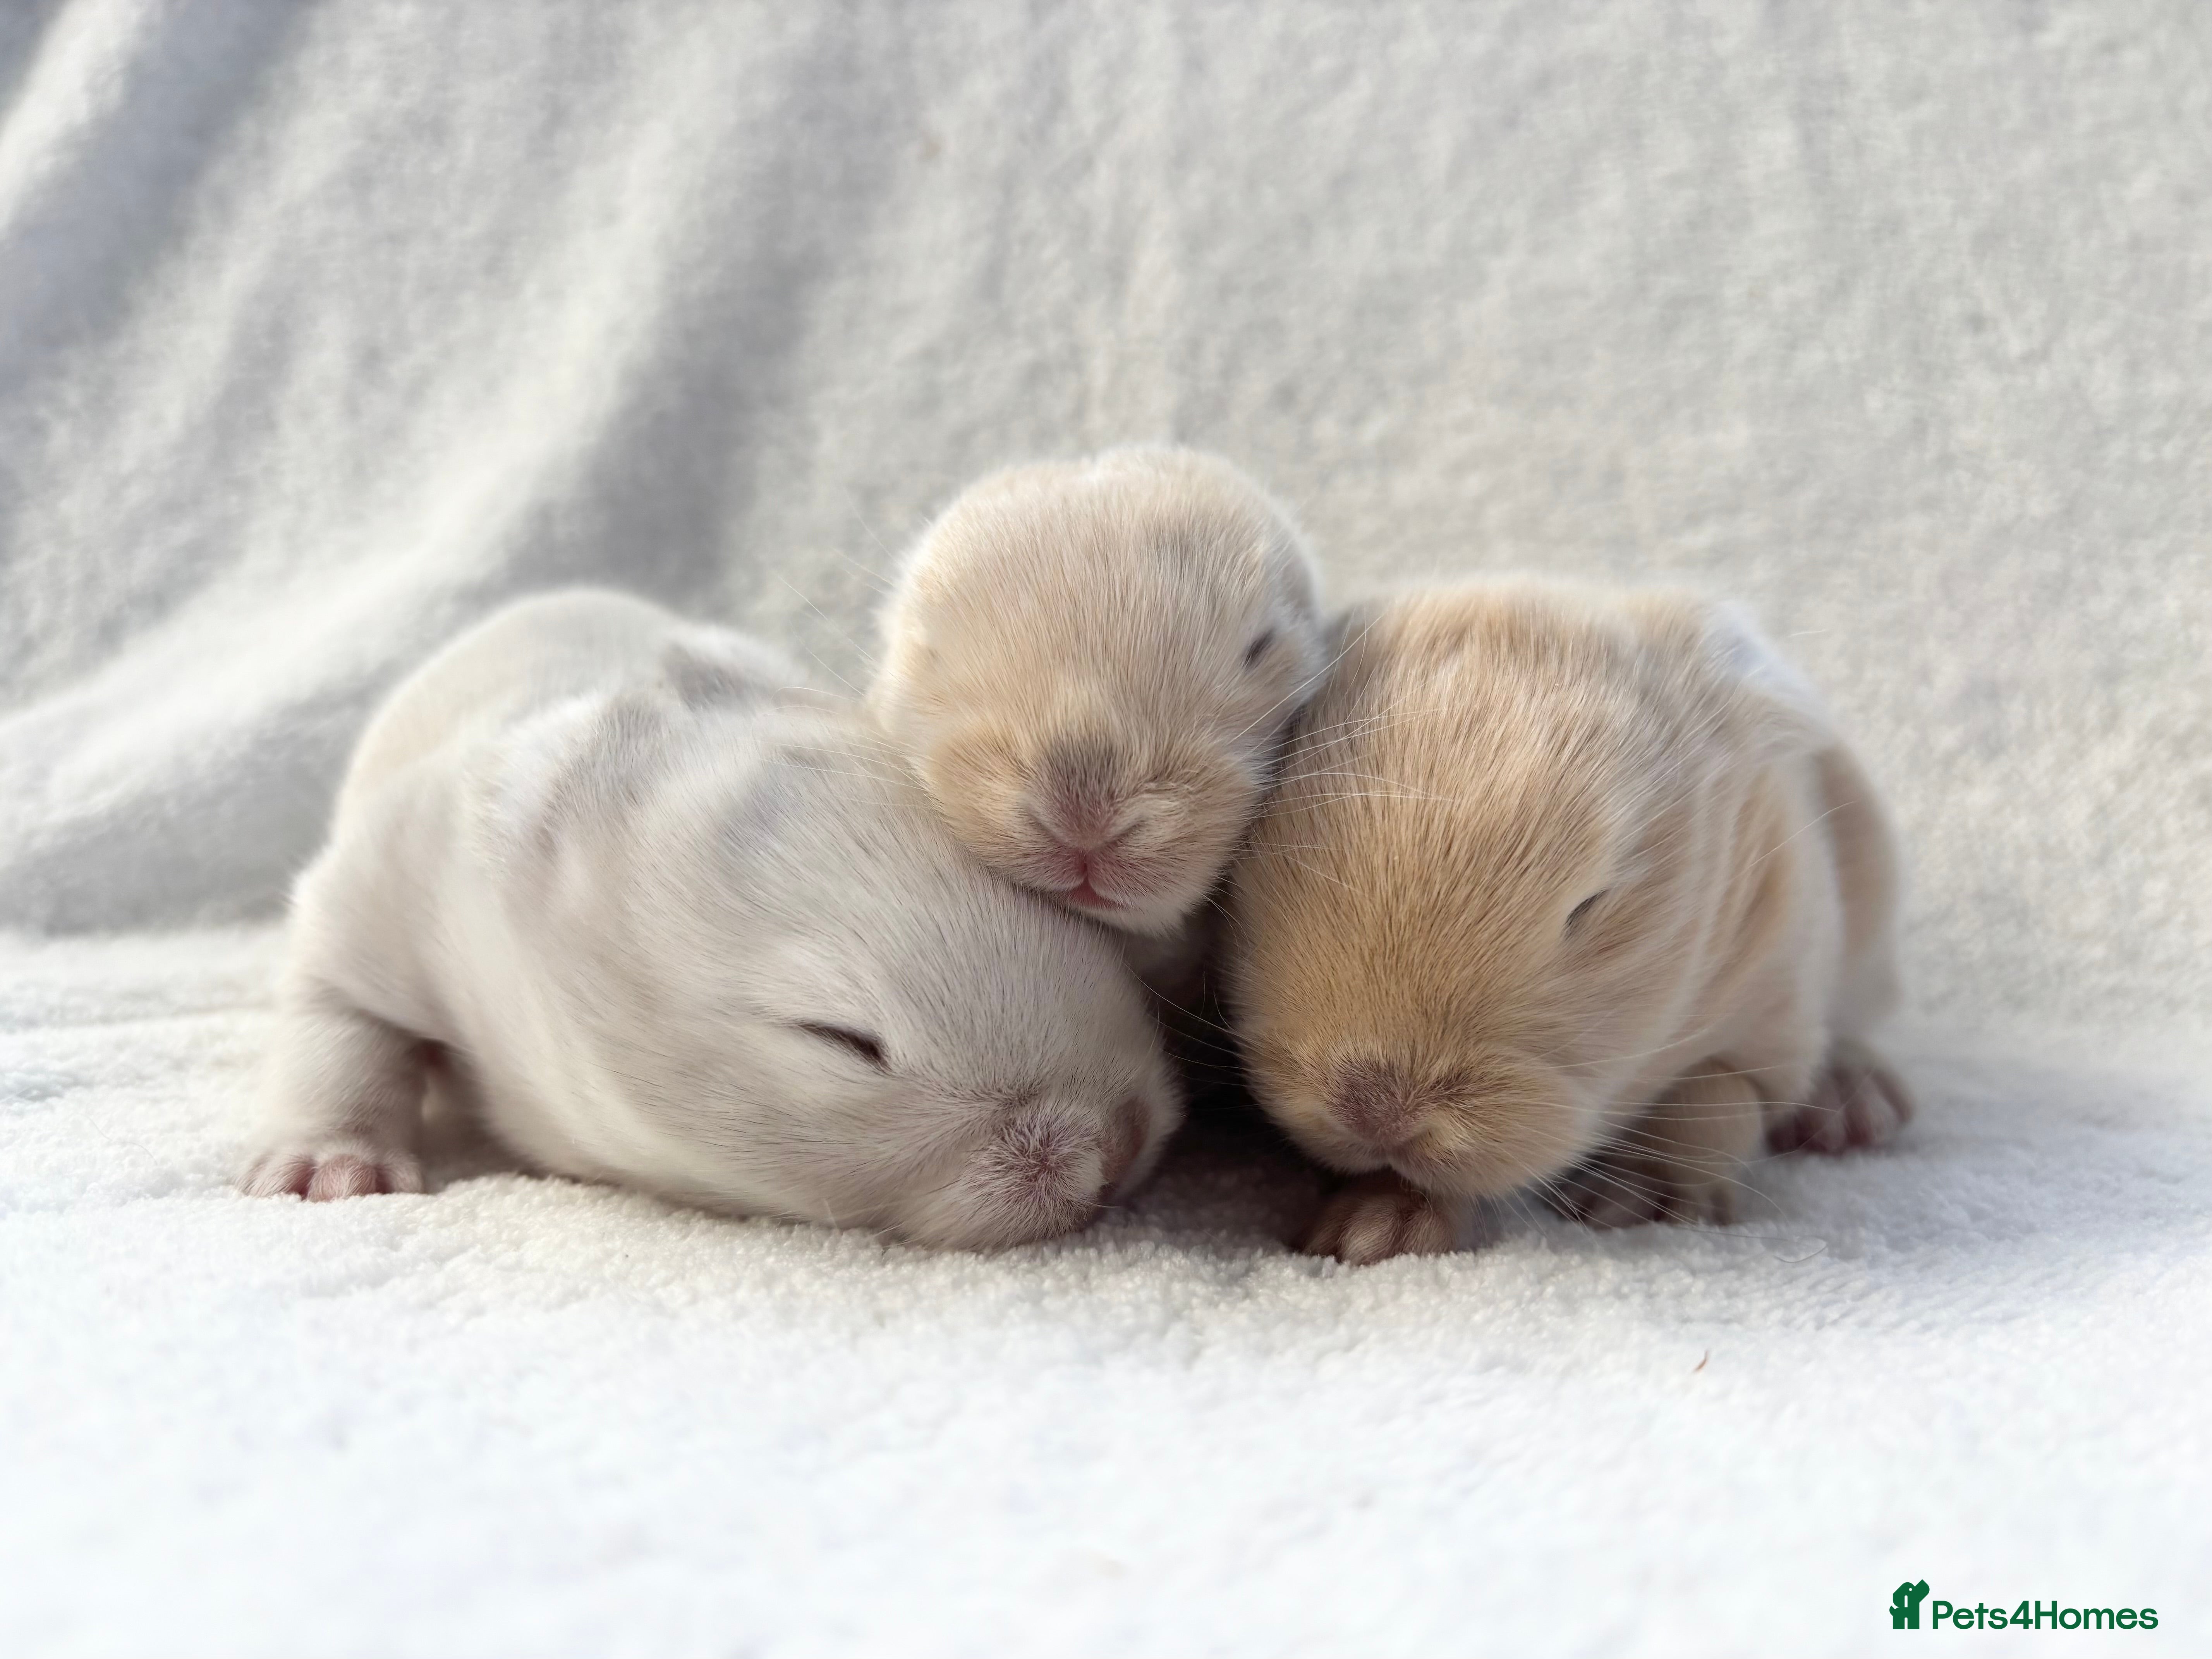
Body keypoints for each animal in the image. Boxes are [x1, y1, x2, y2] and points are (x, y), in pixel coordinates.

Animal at [1222, 579, 1913, 1265]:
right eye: (1251, 860)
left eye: (1591, 904)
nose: (1376, 1112)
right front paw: (1369, 1231)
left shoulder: (1775, 985)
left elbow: (1714, 1104)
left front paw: (1634, 1198)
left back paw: (1856, 1105)